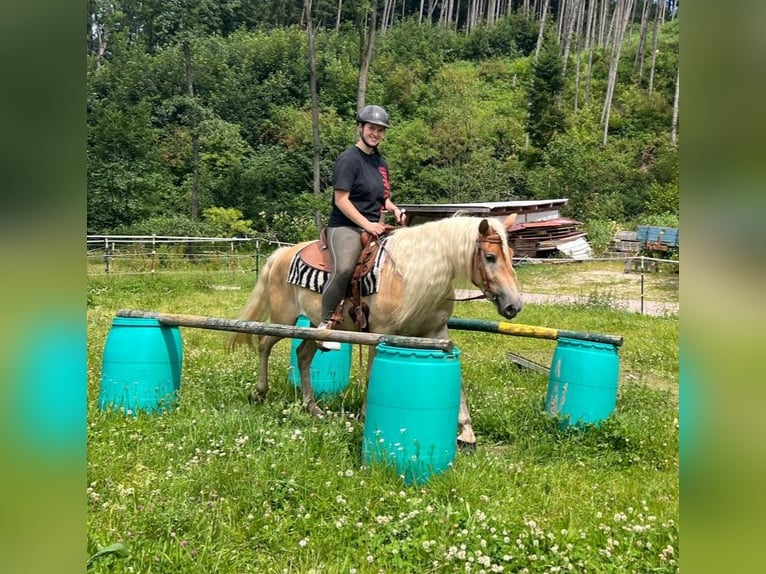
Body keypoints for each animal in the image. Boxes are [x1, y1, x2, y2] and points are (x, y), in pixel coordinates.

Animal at [228, 214, 524, 448]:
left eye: (511, 257)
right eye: (490, 257)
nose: (514, 306)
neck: (407, 275)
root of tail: (281, 255)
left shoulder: (437, 334)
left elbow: (458, 382)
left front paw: (467, 433)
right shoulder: (379, 334)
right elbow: (372, 377)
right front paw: (364, 417)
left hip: (314, 327)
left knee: (302, 355)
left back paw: (312, 407)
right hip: (284, 319)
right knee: (264, 343)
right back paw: (259, 393)